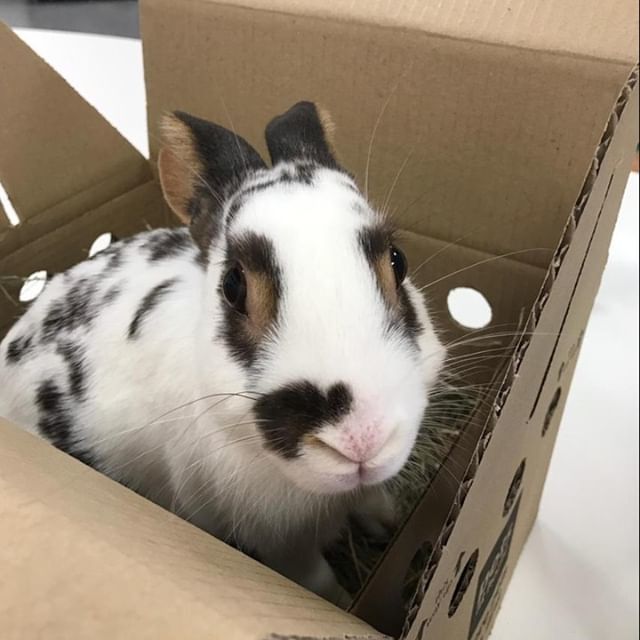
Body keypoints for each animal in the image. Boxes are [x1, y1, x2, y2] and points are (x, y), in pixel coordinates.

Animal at [0, 101, 445, 606]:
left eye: (398, 261)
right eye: (233, 286)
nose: (360, 438)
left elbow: (374, 501)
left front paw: (392, 524)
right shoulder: (283, 545)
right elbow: (319, 583)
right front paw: (345, 601)